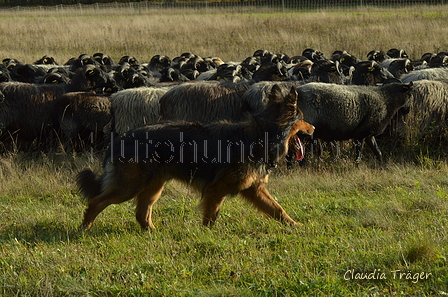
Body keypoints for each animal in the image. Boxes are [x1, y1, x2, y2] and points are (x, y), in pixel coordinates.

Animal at [77, 84, 316, 230]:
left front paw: (295, 226)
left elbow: (277, 209)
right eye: (303, 118)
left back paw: (152, 231)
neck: (262, 133)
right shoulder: (217, 189)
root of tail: (120, 138)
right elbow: (212, 214)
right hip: (130, 185)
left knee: (142, 212)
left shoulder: (254, 188)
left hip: (153, 186)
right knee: (96, 202)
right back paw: (84, 227)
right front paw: (209, 234)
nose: (314, 128)